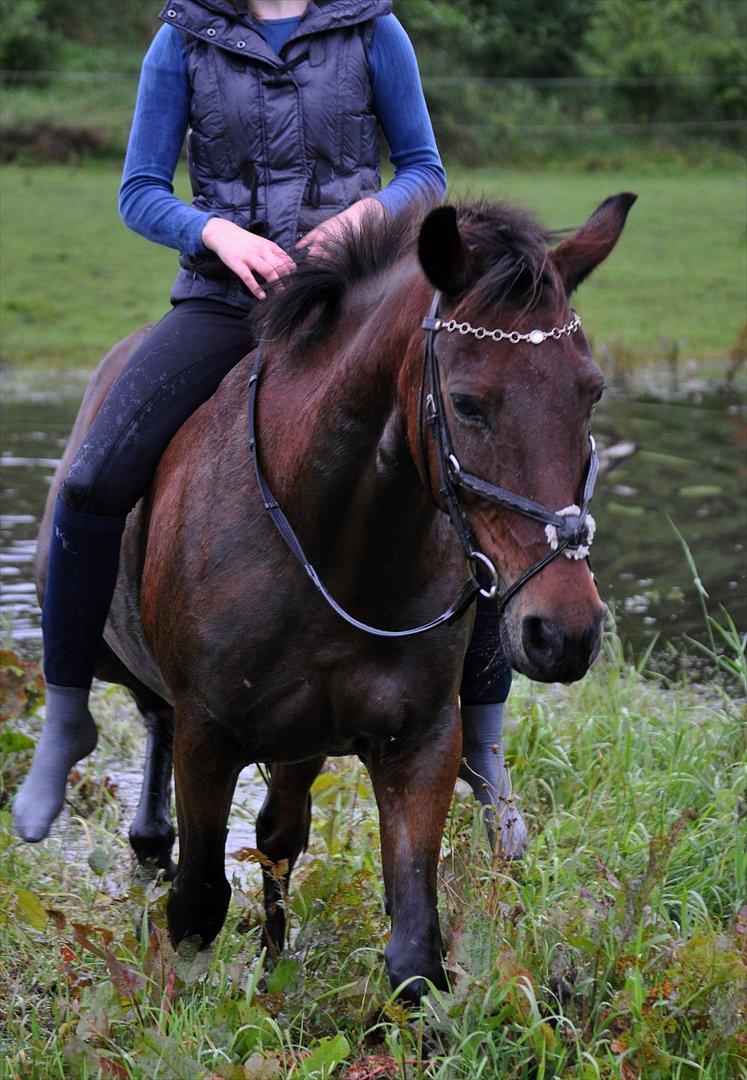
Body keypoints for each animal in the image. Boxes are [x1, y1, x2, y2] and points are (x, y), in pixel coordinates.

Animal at [36, 190, 634, 997]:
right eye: (468, 404)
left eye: (590, 393)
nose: (565, 631)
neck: (335, 547)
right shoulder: (207, 734)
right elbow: (198, 904)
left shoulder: (418, 741)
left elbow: (414, 952)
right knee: (153, 724)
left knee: (278, 834)